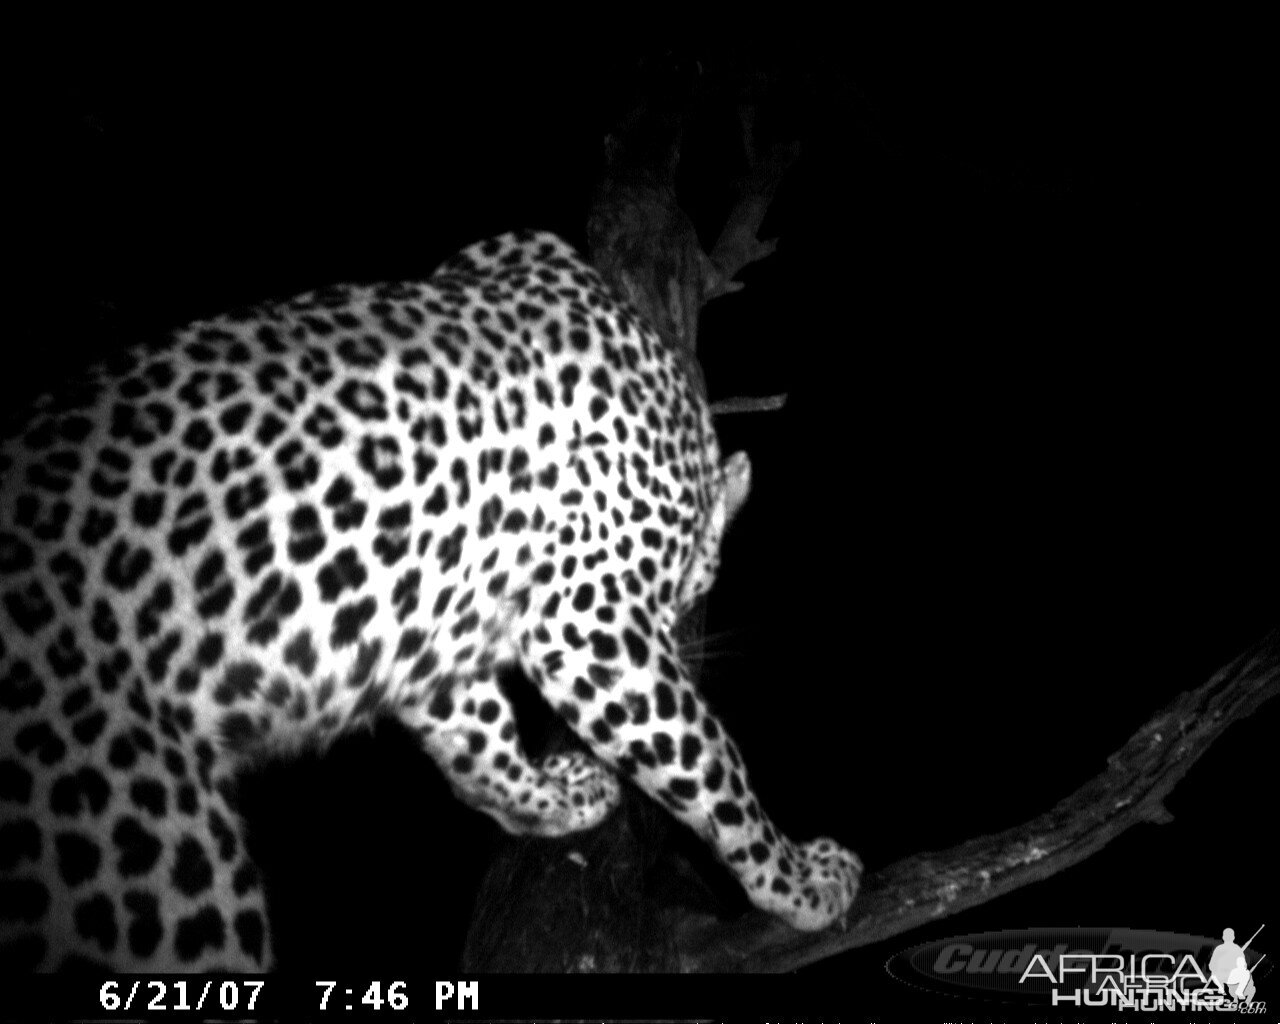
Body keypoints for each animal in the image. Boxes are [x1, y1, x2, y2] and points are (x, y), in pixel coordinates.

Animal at [2, 230, 860, 967]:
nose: (687, 620)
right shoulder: (590, 623)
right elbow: (714, 766)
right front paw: (800, 882)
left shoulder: (435, 625)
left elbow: (477, 752)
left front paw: (556, 797)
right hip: (161, 854)